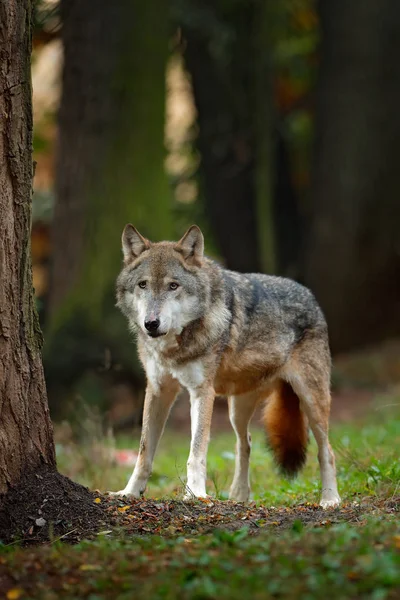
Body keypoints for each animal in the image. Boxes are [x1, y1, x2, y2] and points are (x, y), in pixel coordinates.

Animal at [111, 225, 340, 506]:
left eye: (173, 286)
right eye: (143, 285)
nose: (151, 324)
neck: (174, 346)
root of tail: (310, 295)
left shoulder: (202, 392)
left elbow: (196, 450)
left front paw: (195, 493)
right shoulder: (158, 391)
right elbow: (144, 452)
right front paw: (129, 492)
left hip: (312, 400)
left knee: (326, 451)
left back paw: (330, 499)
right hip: (236, 409)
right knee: (245, 443)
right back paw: (239, 496)